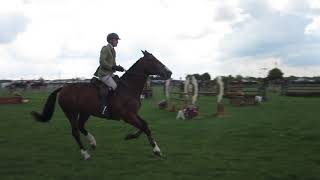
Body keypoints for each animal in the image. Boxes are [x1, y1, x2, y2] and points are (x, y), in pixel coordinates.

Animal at [30, 50, 172, 159]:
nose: (169, 73)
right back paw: (85, 154)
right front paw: (155, 149)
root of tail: (64, 87)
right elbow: (144, 127)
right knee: (75, 132)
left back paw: (92, 142)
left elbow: (145, 125)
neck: (128, 88)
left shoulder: (133, 114)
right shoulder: (128, 116)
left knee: (81, 127)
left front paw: (132, 137)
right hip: (71, 113)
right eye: (153, 61)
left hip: (85, 112)